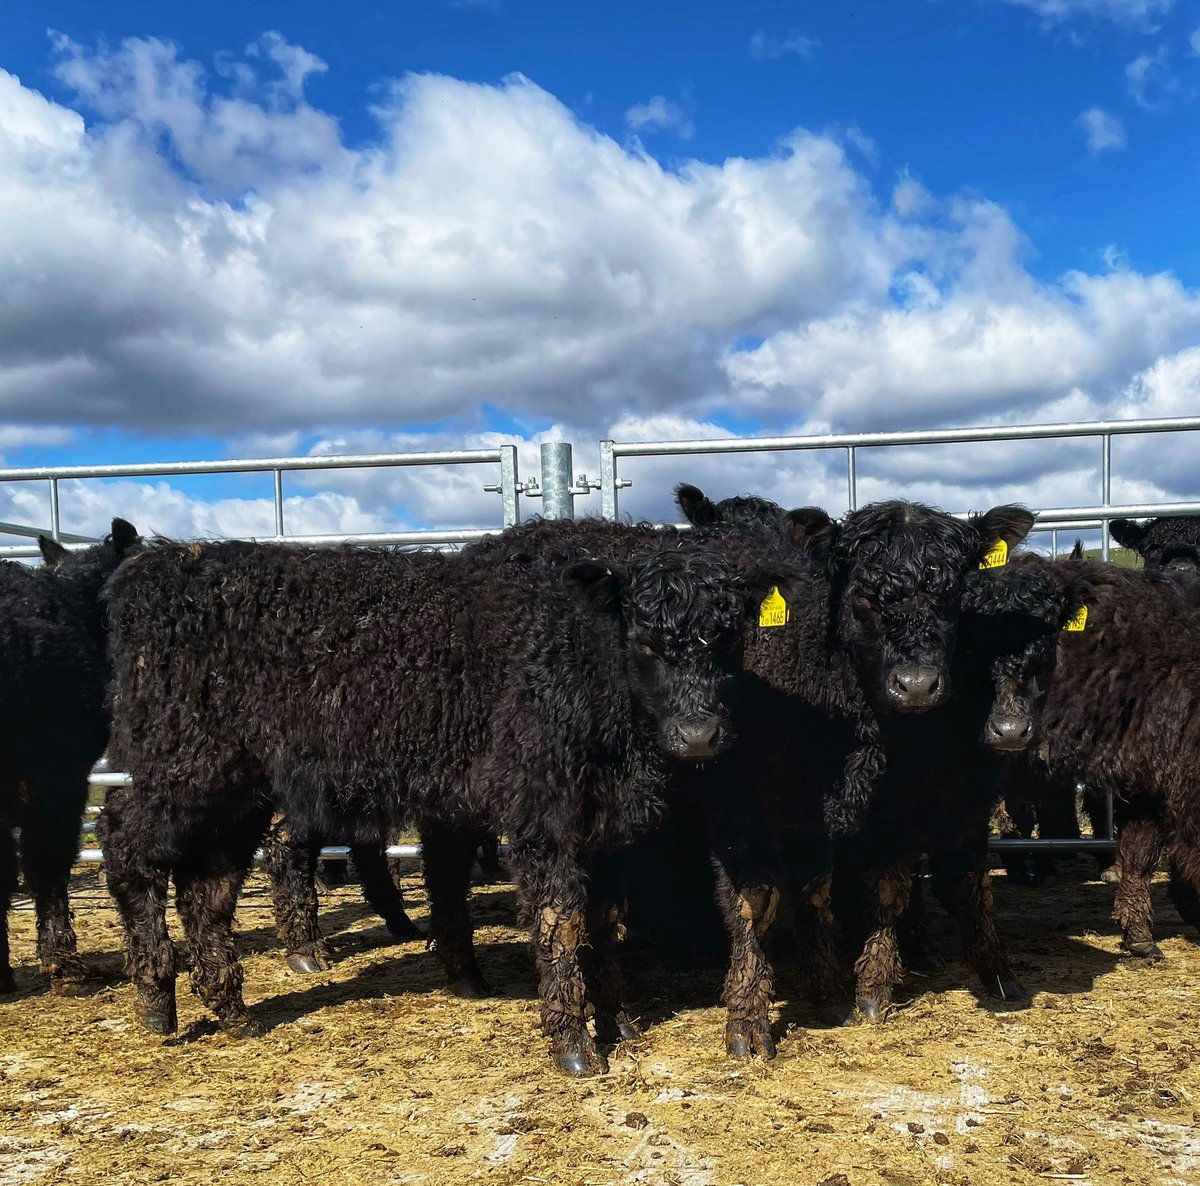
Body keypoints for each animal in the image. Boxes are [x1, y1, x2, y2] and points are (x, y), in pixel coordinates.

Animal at [96, 532, 777, 1070]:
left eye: (727, 638)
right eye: (645, 640)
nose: (698, 734)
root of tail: (163, 561)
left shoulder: (605, 823)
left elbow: (603, 920)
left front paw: (620, 1022)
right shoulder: (541, 811)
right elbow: (561, 919)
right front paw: (573, 1045)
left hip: (237, 790)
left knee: (206, 888)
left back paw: (234, 1011)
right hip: (182, 767)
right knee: (123, 842)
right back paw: (156, 1000)